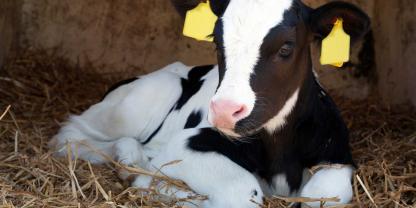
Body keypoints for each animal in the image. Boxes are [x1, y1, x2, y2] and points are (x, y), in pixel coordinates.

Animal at [50, 0, 368, 207]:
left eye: (286, 47)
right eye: (217, 41)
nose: (225, 111)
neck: (279, 151)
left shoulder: (338, 157)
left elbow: (321, 196)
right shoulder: (187, 144)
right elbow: (241, 192)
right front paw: (160, 188)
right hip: (137, 101)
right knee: (70, 136)